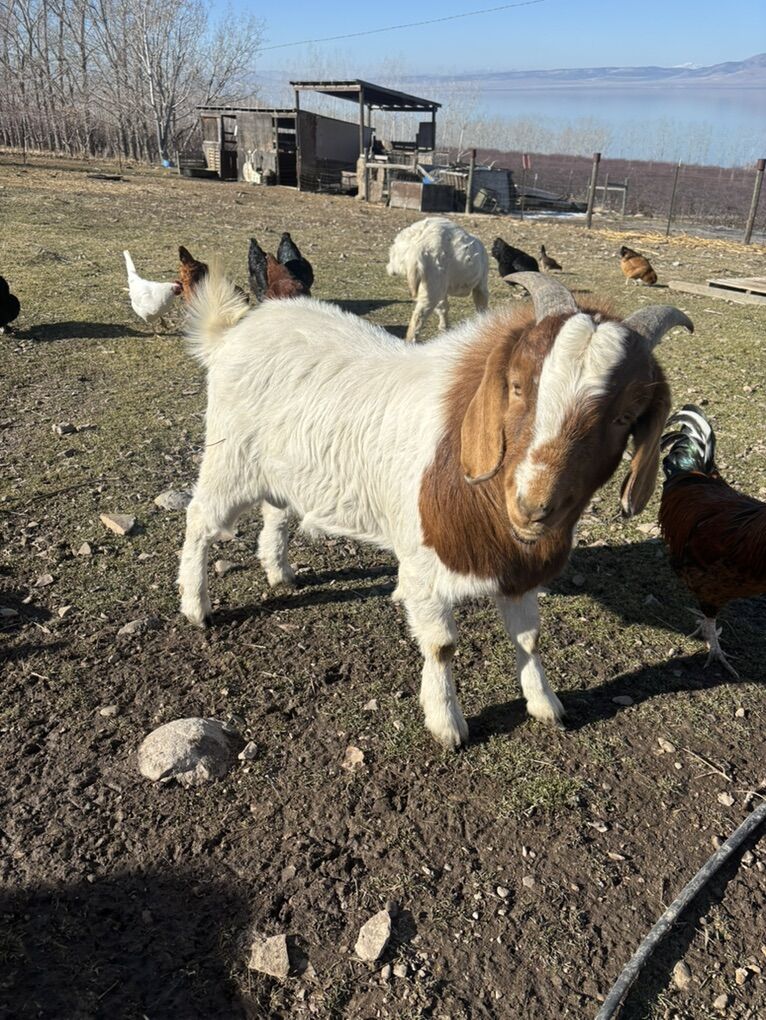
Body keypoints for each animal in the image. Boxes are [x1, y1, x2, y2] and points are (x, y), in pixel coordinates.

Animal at [178, 270, 692, 749]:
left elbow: (528, 638)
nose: (532, 506)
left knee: (276, 510)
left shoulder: (518, 568)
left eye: (626, 417)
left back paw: (278, 571)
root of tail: (235, 332)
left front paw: (545, 703)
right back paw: (196, 606)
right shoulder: (424, 563)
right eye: (517, 386)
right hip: (230, 460)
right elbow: (442, 645)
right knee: (200, 519)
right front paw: (447, 724)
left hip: (281, 470)